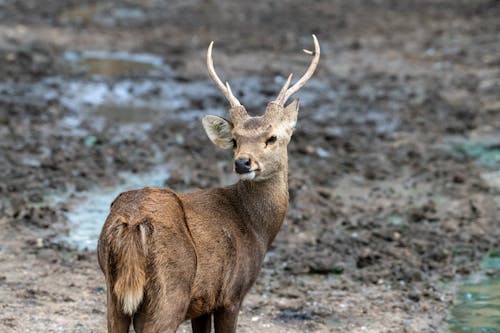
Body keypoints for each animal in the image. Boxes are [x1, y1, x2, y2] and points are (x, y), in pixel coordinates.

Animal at [97, 35, 320, 330]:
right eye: (235, 140)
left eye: (272, 137)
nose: (242, 163)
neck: (256, 229)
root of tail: (132, 223)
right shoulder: (230, 294)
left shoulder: (202, 302)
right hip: (170, 292)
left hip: (113, 292)